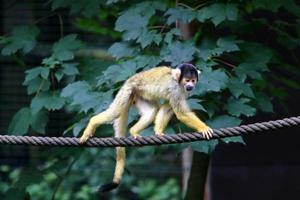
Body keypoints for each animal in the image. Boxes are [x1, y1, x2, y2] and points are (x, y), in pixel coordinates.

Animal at [79, 63, 213, 191]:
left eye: (193, 80)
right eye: (187, 80)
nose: (190, 86)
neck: (179, 83)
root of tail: (128, 81)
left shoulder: (183, 92)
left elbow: (168, 107)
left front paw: (158, 132)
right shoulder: (175, 89)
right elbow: (181, 113)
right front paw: (204, 128)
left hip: (139, 94)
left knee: (152, 111)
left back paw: (134, 131)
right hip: (127, 91)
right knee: (115, 112)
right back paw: (92, 123)